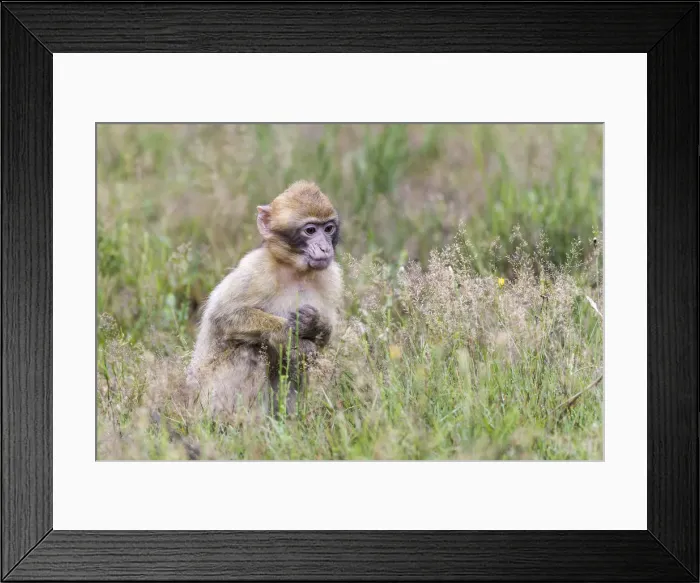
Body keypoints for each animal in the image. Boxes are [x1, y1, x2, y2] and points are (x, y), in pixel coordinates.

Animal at [186, 180, 344, 419]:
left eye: (328, 229)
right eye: (310, 230)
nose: (325, 248)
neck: (295, 271)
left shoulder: (331, 277)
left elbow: (324, 339)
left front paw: (314, 324)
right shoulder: (258, 269)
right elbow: (224, 316)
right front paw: (289, 333)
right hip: (206, 399)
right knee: (249, 350)